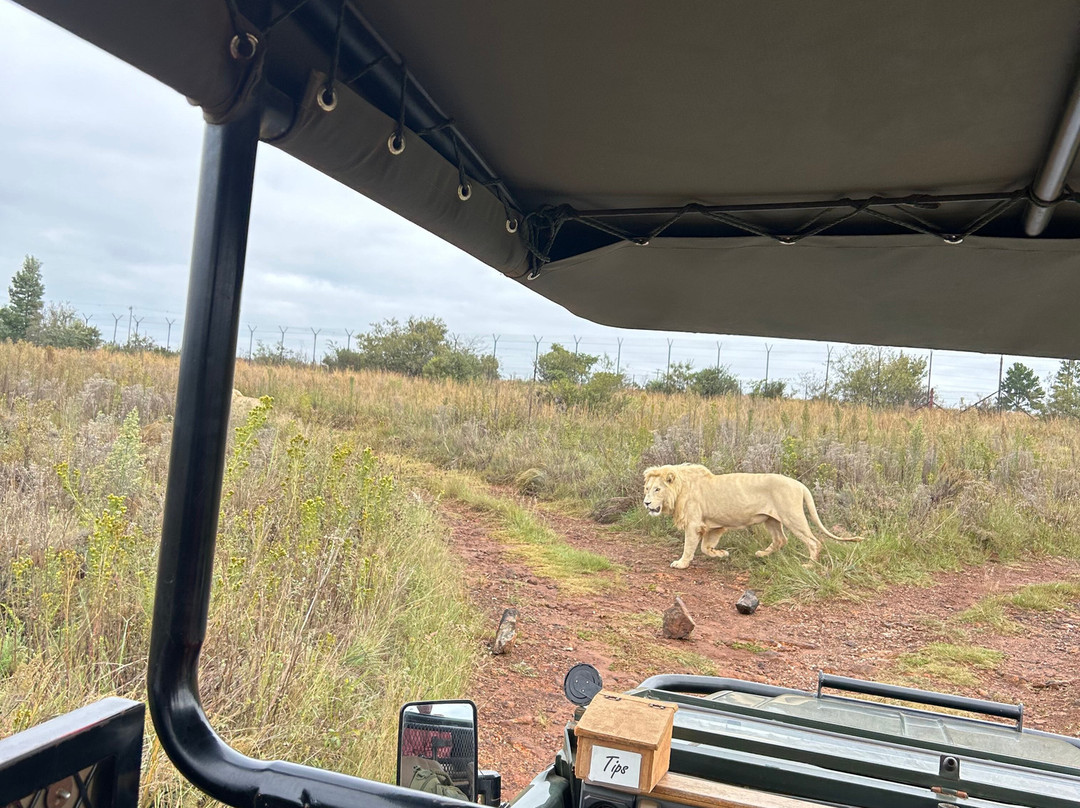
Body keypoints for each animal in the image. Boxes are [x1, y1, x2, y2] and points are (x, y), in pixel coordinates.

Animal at [643, 464, 862, 568]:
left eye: (657, 489)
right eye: (646, 489)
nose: (646, 503)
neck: (680, 489)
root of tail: (800, 485)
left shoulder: (694, 524)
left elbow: (689, 547)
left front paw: (681, 564)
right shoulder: (714, 525)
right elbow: (706, 547)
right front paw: (721, 554)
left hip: (792, 517)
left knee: (814, 542)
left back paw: (809, 564)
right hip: (771, 520)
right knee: (781, 540)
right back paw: (762, 554)